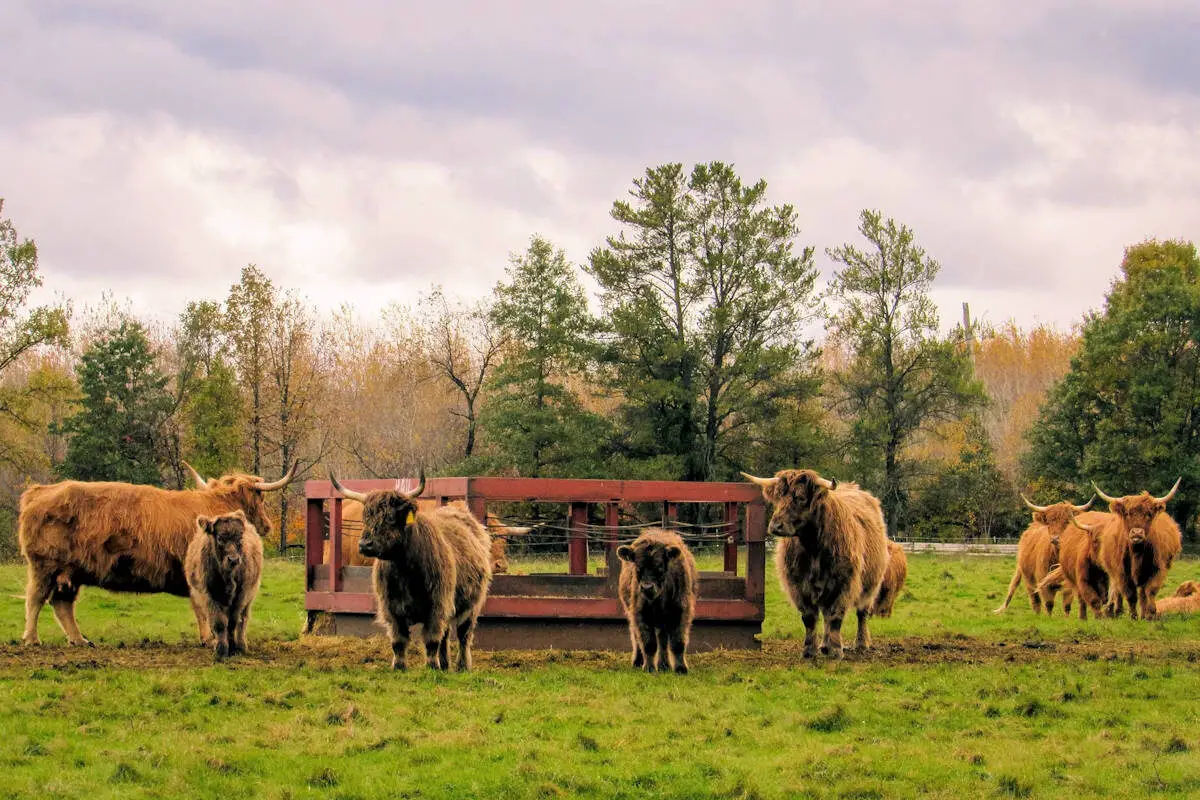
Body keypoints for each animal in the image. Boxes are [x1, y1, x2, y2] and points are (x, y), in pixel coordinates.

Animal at [182, 510, 262, 662]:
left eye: (240, 537)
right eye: (219, 538)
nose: (234, 559)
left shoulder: (241, 596)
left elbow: (233, 621)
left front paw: (233, 647)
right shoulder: (210, 595)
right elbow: (219, 623)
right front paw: (221, 650)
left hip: (250, 595)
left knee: (243, 619)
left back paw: (242, 645)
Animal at [328, 472, 492, 671]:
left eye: (390, 518)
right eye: (366, 517)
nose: (365, 544)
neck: (404, 571)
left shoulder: (436, 605)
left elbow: (431, 640)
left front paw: (432, 667)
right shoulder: (391, 609)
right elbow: (398, 642)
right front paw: (399, 667)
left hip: (471, 604)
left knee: (463, 635)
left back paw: (462, 666)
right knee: (446, 634)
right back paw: (445, 664)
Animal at [614, 532, 700, 676]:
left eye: (659, 567)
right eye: (638, 567)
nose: (647, 587)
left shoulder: (681, 612)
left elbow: (677, 643)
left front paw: (680, 668)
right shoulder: (640, 614)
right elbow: (648, 643)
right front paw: (649, 667)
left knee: (663, 640)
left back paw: (664, 665)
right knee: (637, 636)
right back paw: (638, 662)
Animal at [739, 465, 892, 662]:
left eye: (801, 497)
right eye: (779, 497)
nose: (775, 526)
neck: (813, 547)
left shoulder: (842, 584)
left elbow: (835, 616)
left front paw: (836, 651)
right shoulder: (798, 585)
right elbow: (809, 618)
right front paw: (809, 650)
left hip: (871, 583)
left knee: (861, 613)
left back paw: (861, 643)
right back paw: (824, 645)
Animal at [1094, 479, 1185, 623]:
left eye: (1148, 514)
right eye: (1127, 513)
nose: (1137, 533)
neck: (1137, 553)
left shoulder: (1157, 570)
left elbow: (1150, 591)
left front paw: (1150, 614)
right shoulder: (1122, 573)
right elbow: (1130, 594)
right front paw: (1133, 616)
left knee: (1143, 593)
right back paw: (1114, 610)